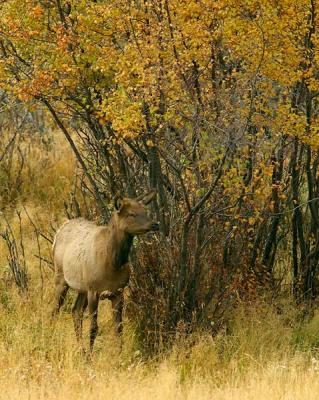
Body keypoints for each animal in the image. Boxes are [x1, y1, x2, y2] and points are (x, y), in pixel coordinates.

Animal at [51, 191, 160, 350]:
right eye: (131, 214)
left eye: (145, 211)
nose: (155, 224)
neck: (112, 265)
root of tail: (59, 230)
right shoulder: (94, 290)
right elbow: (93, 327)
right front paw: (90, 355)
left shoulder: (118, 291)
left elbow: (119, 328)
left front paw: (119, 353)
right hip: (61, 276)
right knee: (55, 310)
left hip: (82, 287)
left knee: (75, 311)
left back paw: (80, 347)